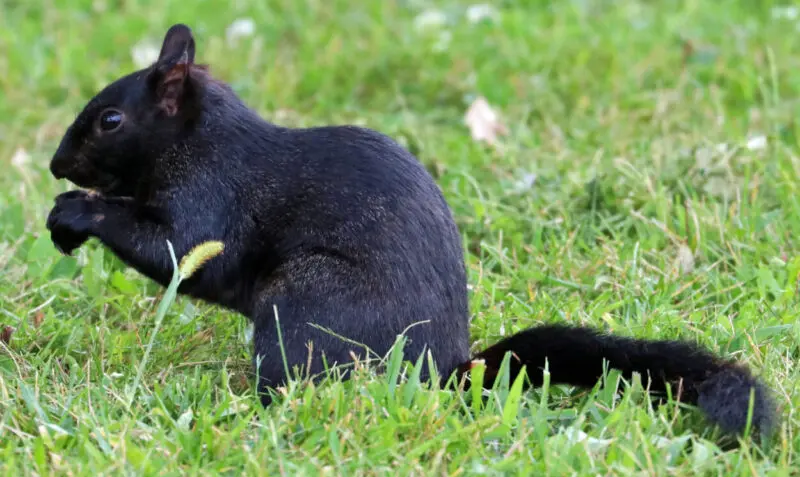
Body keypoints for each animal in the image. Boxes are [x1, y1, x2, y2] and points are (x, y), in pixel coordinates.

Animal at [46, 24, 775, 439]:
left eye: (110, 120)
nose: (56, 163)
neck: (200, 139)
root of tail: (447, 374)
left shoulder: (214, 197)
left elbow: (180, 253)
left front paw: (75, 213)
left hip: (306, 300)